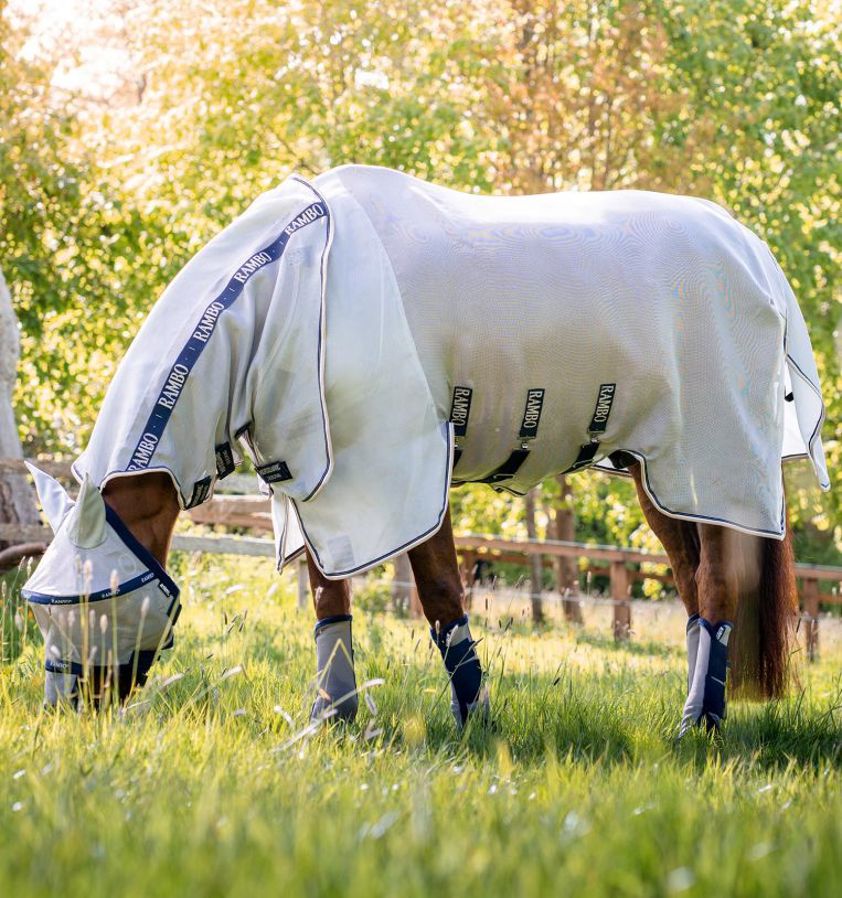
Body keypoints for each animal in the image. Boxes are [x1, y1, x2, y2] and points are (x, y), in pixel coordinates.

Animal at [21, 163, 828, 736]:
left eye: (91, 600)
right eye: (38, 609)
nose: (65, 713)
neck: (293, 284)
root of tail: (750, 249)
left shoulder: (400, 467)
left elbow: (439, 593)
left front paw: (475, 726)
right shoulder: (315, 483)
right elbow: (328, 599)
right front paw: (332, 722)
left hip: (712, 463)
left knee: (715, 584)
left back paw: (698, 727)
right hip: (657, 473)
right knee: (692, 584)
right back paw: (700, 717)